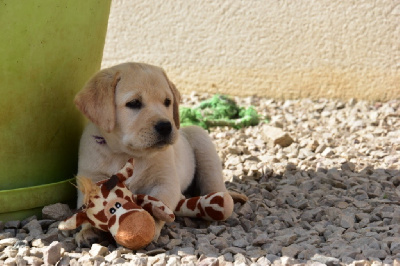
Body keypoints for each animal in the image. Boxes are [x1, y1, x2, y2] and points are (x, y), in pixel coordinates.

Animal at [72, 62, 241, 247]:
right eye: (134, 103)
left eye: (167, 102)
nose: (166, 126)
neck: (126, 154)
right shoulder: (91, 177)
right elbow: (89, 207)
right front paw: (89, 230)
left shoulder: (165, 182)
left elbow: (158, 202)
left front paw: (144, 227)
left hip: (201, 139)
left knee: (214, 184)